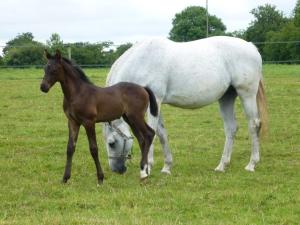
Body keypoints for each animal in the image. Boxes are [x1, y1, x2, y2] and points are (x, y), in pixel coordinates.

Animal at [39, 50, 157, 184]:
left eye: (54, 69)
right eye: (45, 68)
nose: (43, 87)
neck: (77, 93)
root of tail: (143, 88)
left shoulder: (88, 122)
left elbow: (94, 149)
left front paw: (100, 178)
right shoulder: (73, 122)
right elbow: (70, 148)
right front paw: (65, 178)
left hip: (136, 116)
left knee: (149, 134)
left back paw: (144, 171)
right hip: (129, 118)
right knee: (142, 139)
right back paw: (143, 172)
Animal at [103, 36, 268, 178]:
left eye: (111, 143)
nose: (116, 169)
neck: (141, 62)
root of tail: (251, 46)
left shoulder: (155, 101)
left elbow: (151, 134)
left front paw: (147, 167)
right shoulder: (156, 105)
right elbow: (161, 134)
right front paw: (166, 167)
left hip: (246, 94)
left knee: (253, 125)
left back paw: (251, 164)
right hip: (226, 97)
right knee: (231, 128)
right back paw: (222, 165)